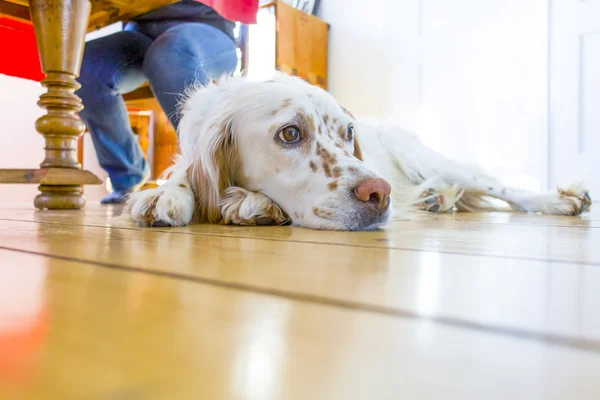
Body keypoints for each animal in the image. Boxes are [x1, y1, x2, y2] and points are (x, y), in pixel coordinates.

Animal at [124, 70, 592, 230]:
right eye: (290, 134)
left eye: (348, 132)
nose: (379, 193)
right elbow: (183, 171)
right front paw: (167, 192)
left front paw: (246, 202)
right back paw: (434, 199)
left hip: (426, 157)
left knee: (500, 187)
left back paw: (559, 201)